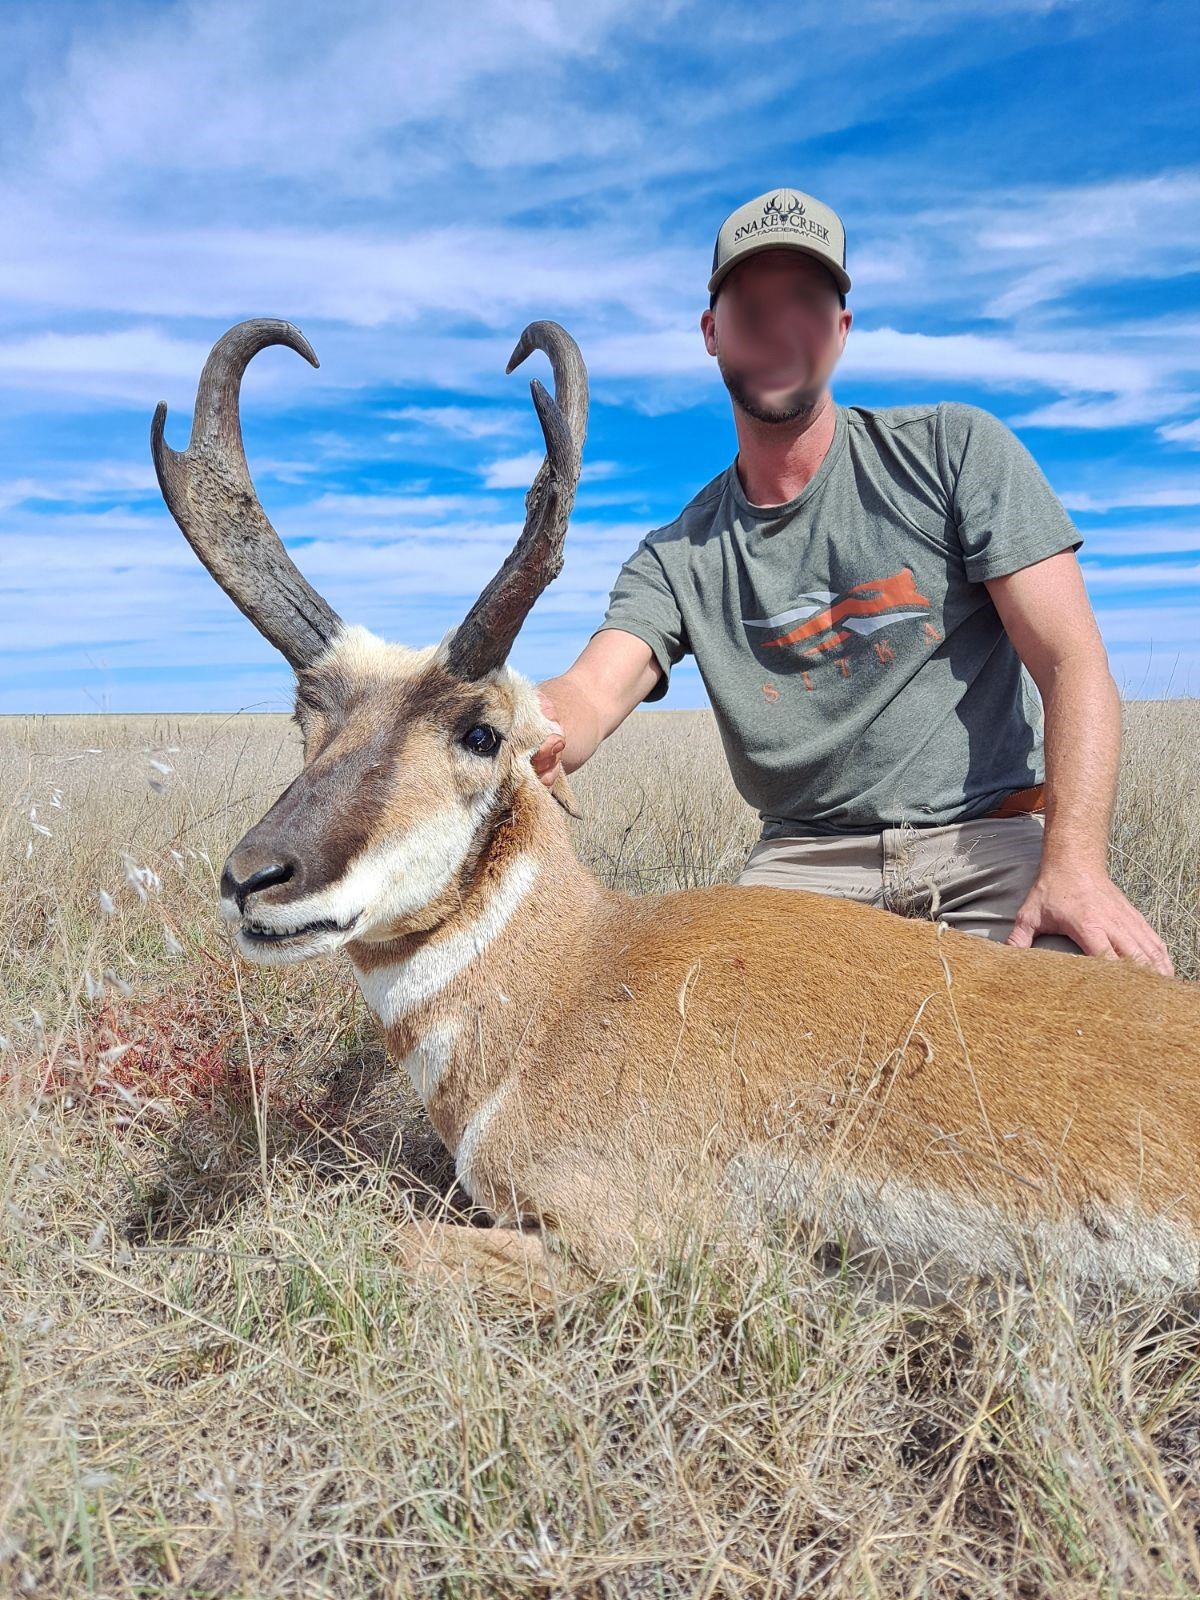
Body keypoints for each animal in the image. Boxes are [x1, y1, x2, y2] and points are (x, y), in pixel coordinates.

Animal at [151, 316, 1199, 1313]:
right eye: (307, 719)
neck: (577, 977)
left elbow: (388, 1242)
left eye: (482, 732)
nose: (254, 879)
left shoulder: (623, 1247)